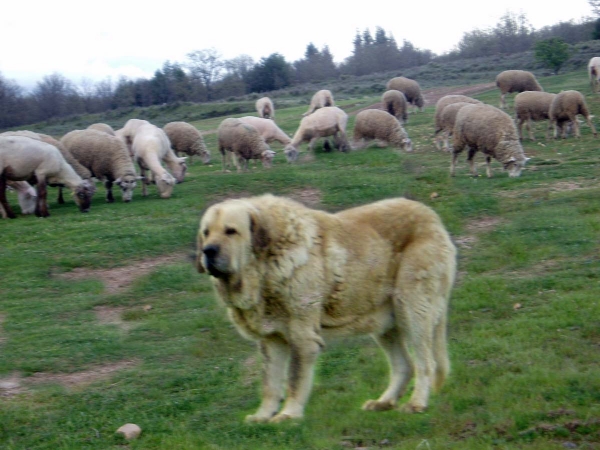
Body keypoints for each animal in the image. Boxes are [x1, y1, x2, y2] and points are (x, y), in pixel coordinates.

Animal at [196, 193, 454, 422]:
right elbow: (270, 382)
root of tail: (431, 216)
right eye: (206, 233)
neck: (265, 264)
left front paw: (288, 415)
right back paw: (384, 402)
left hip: (413, 310)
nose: (207, 251)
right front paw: (263, 416)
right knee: (404, 365)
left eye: (231, 231)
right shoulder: (272, 340)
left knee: (425, 363)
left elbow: (295, 379)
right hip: (384, 322)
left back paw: (417, 403)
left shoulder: (302, 335)